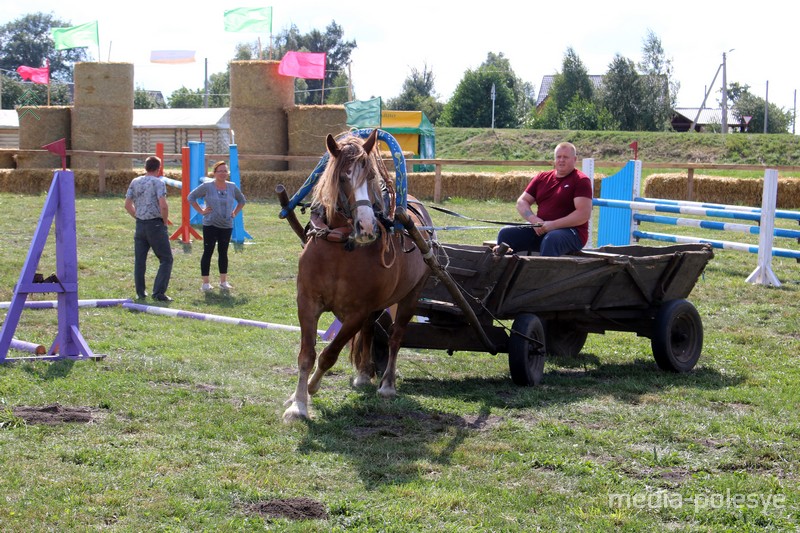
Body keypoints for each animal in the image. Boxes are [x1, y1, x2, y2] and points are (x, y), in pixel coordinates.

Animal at [282, 129, 432, 420]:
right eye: (342, 177)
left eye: (371, 176)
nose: (366, 226)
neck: (339, 249)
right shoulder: (307, 302)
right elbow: (306, 355)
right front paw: (298, 403)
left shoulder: (357, 312)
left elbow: (329, 354)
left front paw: (311, 388)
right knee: (370, 330)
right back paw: (363, 374)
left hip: (412, 294)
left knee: (396, 335)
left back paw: (387, 384)